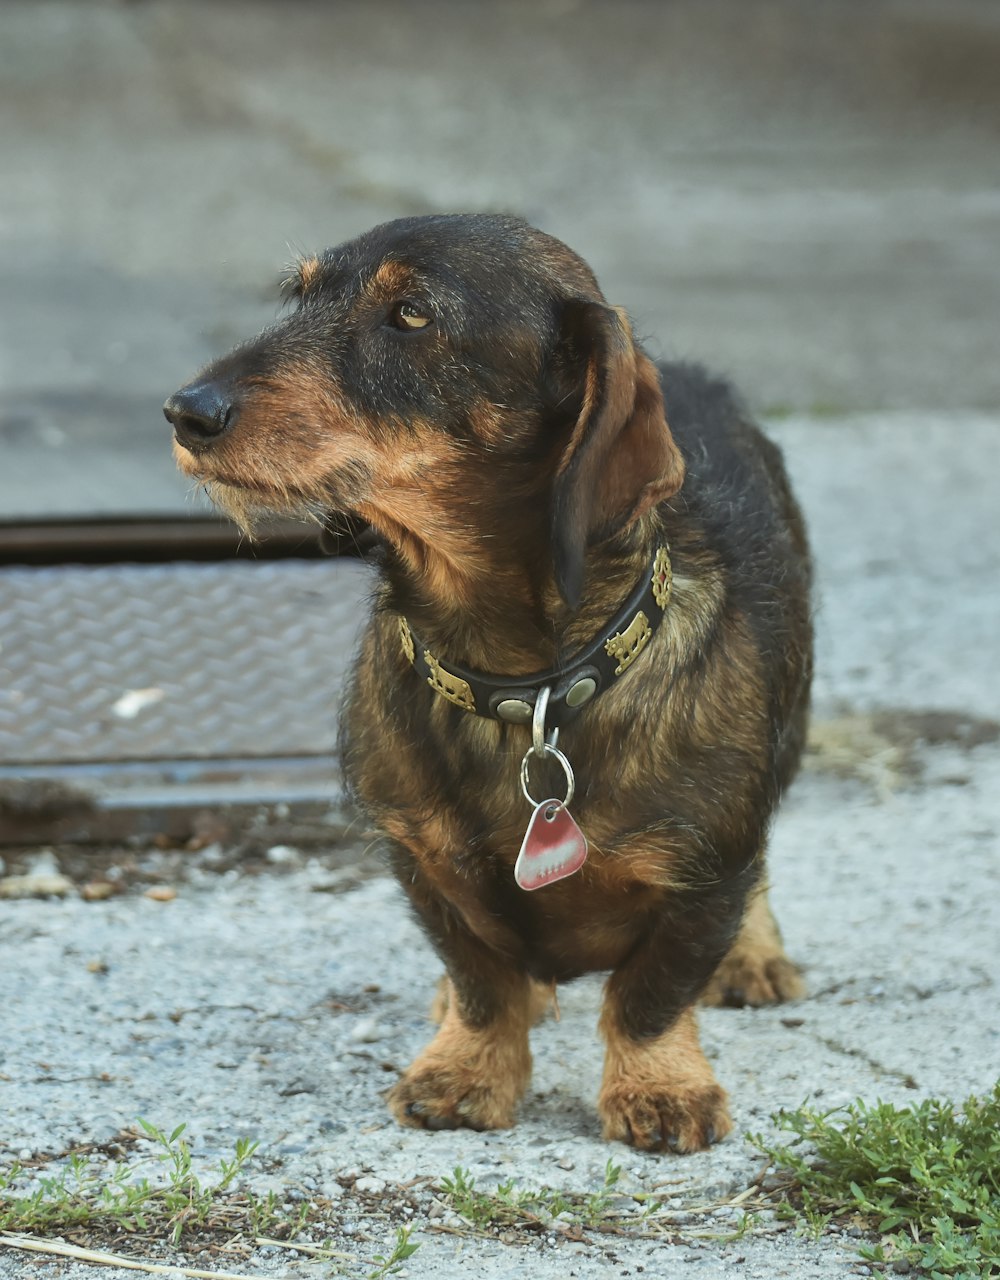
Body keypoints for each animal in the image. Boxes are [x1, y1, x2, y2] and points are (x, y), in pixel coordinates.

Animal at [163, 215, 809, 1157]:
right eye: (300, 297)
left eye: (412, 314)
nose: (186, 412)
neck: (522, 689)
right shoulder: (420, 861)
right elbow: (482, 980)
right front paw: (467, 1070)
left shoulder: (707, 872)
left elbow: (651, 994)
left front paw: (659, 1084)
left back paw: (755, 954)